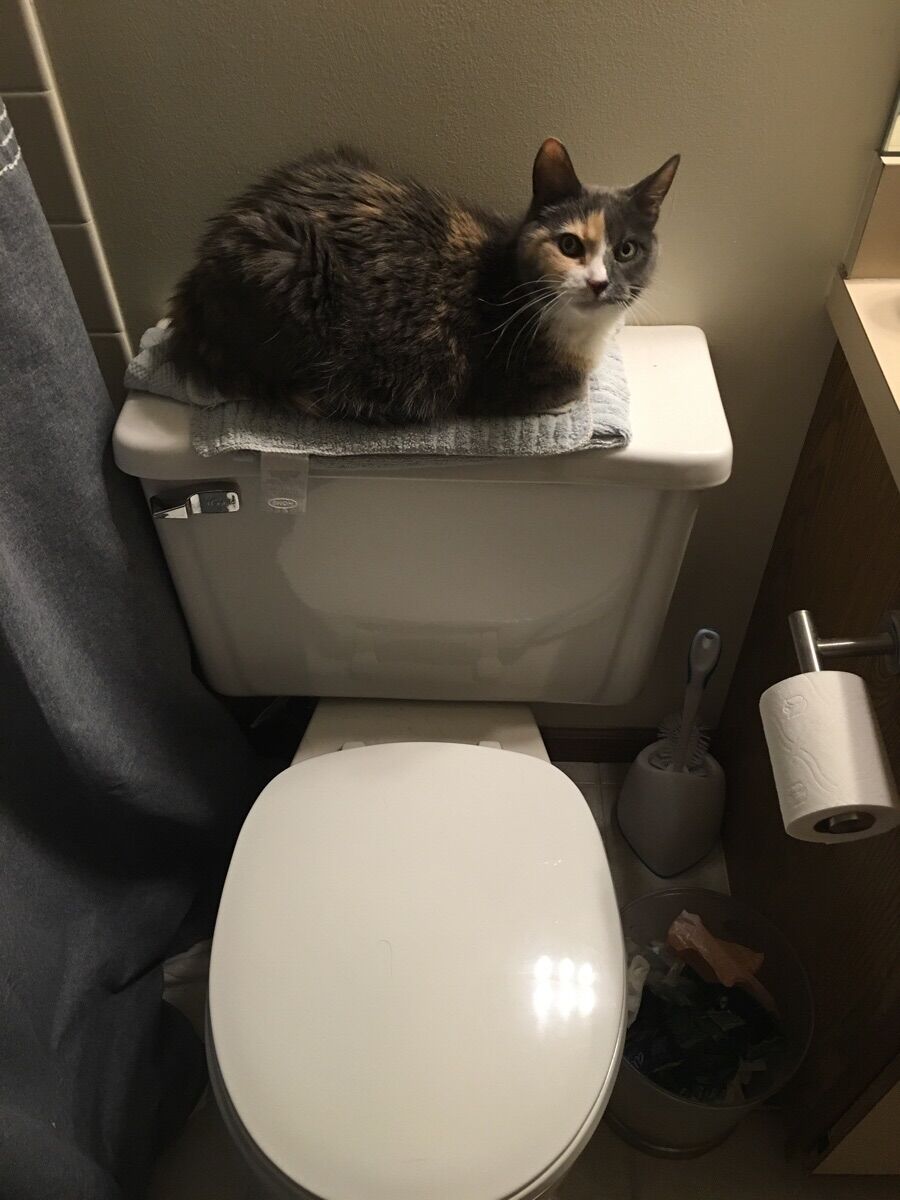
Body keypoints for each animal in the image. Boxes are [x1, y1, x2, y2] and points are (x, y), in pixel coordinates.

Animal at [167, 139, 678, 424]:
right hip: (285, 264)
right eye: (569, 245)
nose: (599, 283)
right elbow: (572, 389)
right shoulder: (496, 382)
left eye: (627, 250)